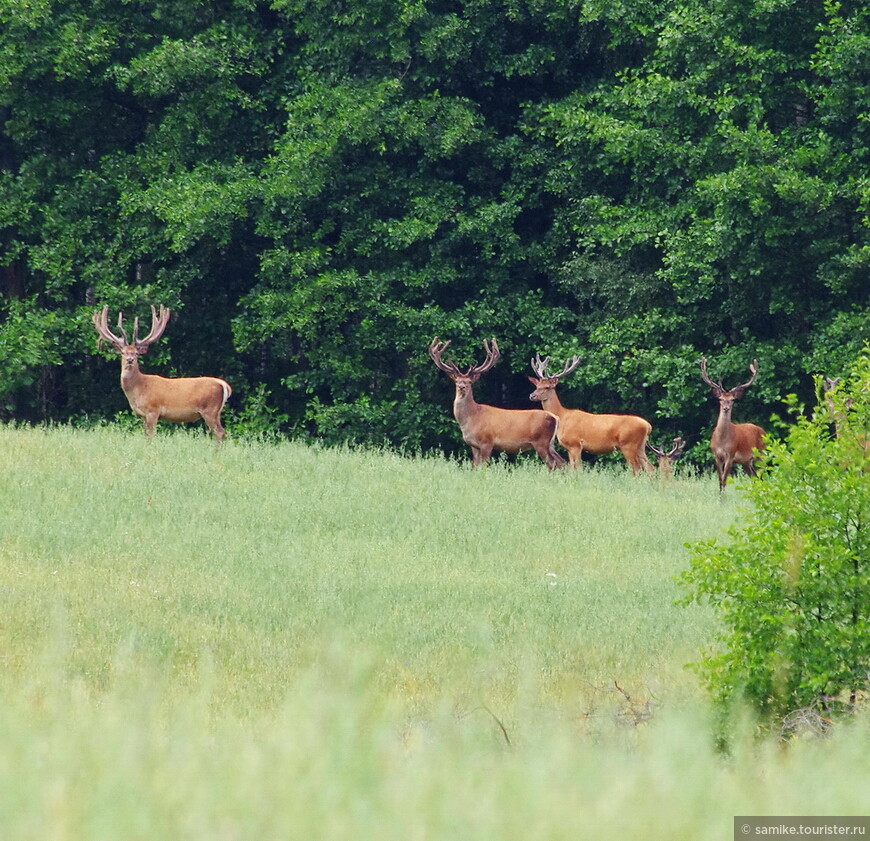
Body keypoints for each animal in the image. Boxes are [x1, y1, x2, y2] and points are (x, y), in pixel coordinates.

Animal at [94, 306, 233, 440]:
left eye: (136, 353)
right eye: (123, 352)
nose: (130, 360)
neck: (139, 388)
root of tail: (223, 385)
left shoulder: (153, 410)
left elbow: (151, 436)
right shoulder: (143, 415)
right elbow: (146, 435)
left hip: (210, 409)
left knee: (220, 432)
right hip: (215, 411)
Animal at [428, 336, 564, 470]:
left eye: (469, 382)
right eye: (457, 381)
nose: (462, 387)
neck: (472, 417)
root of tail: (555, 418)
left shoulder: (487, 442)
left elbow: (483, 467)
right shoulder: (474, 445)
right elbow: (475, 467)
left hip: (541, 441)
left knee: (553, 464)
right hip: (550, 444)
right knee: (561, 462)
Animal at [528, 352, 656, 476]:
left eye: (547, 387)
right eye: (537, 386)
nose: (532, 395)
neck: (562, 417)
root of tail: (647, 426)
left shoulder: (575, 444)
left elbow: (579, 470)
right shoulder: (569, 448)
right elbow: (572, 469)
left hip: (628, 445)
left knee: (637, 470)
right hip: (640, 446)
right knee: (651, 468)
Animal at [700, 356, 768, 492]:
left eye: (732, 400)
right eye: (720, 399)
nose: (726, 408)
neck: (721, 441)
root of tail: (764, 432)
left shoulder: (730, 455)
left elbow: (725, 480)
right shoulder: (716, 456)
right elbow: (720, 481)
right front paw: (720, 496)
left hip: (762, 453)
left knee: (764, 475)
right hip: (746, 461)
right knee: (755, 477)